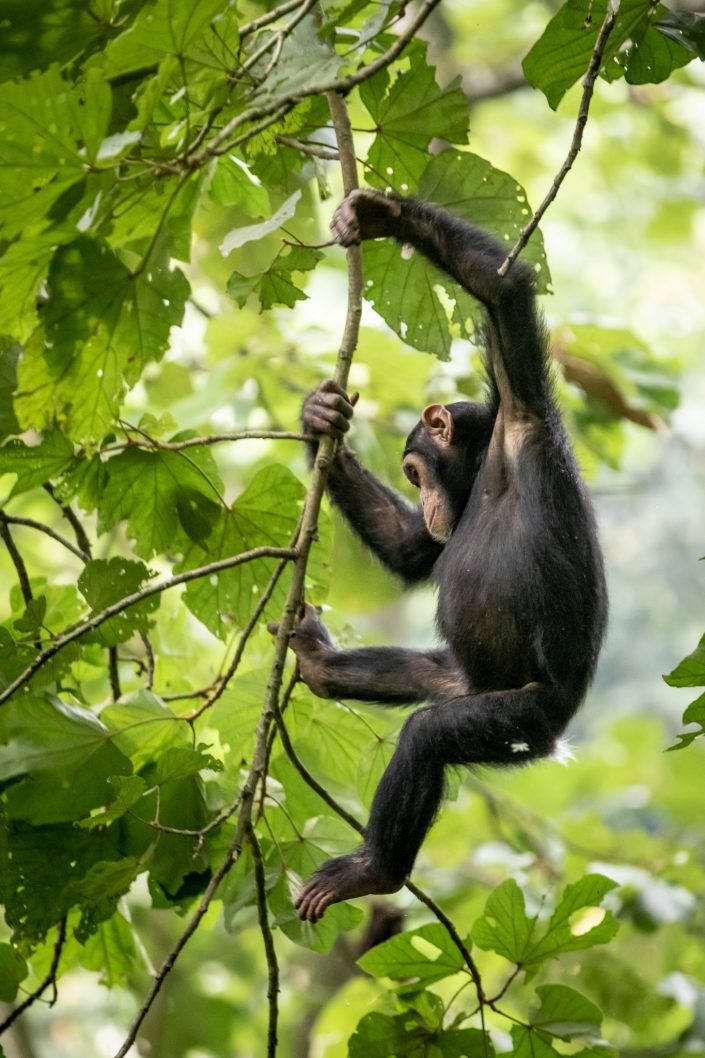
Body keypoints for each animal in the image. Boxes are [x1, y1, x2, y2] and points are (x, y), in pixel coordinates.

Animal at [275, 188, 605, 918]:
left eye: (413, 471)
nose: (425, 498)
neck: (483, 470)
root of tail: (563, 731)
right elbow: (409, 551)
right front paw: (318, 418)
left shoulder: (522, 412)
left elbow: (504, 293)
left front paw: (384, 216)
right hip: (467, 681)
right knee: (417, 674)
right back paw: (322, 664)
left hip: (519, 719)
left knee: (429, 735)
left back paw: (371, 869)